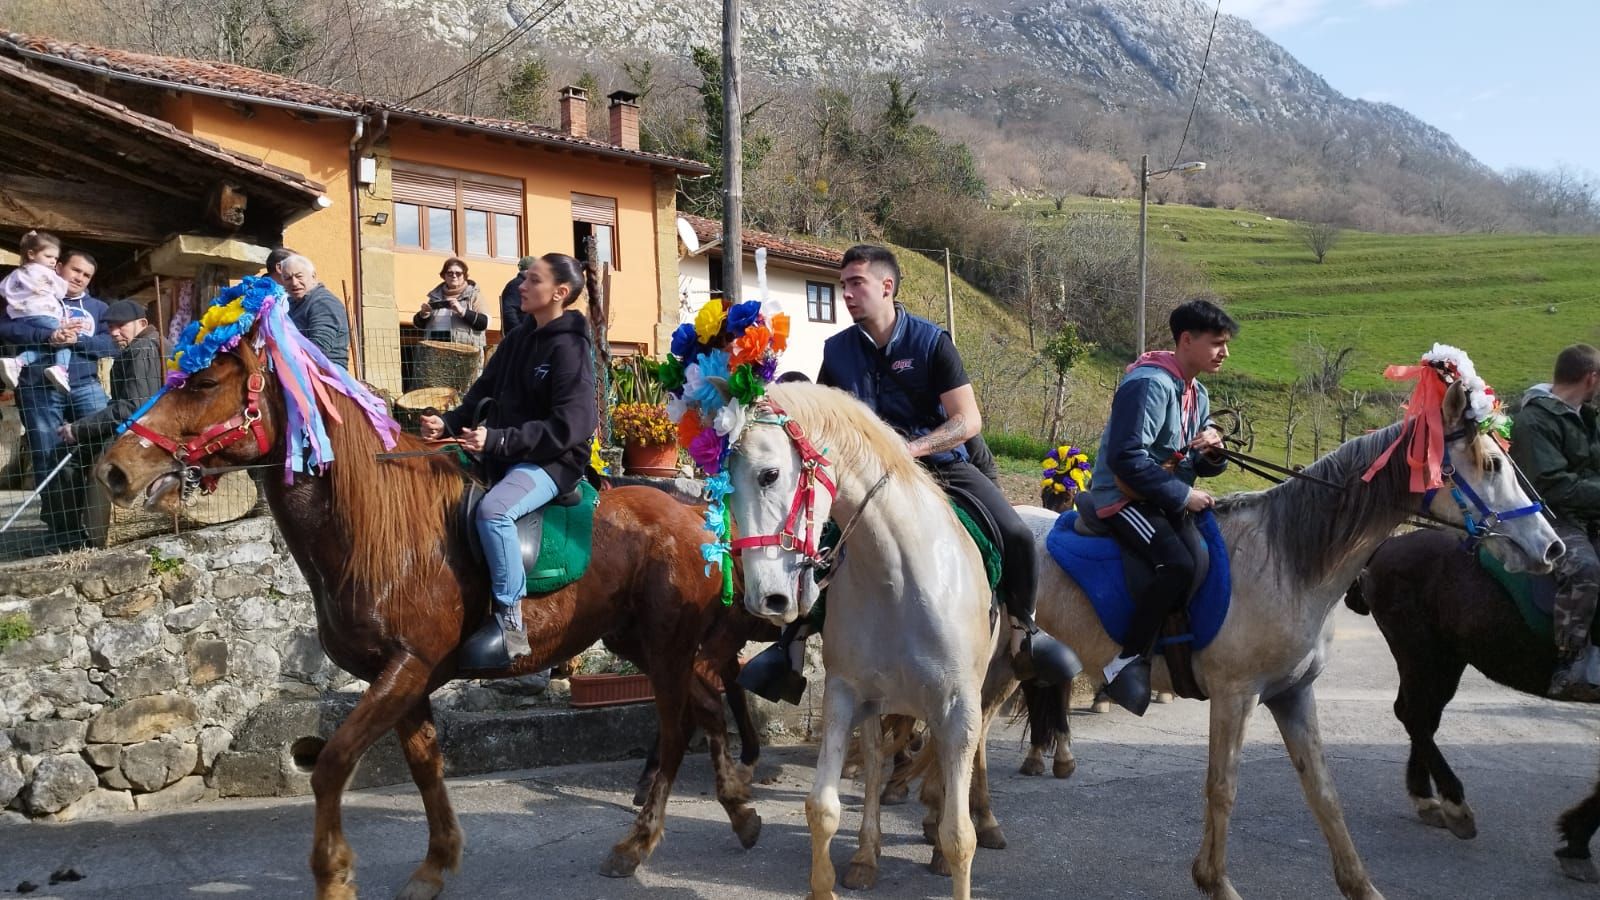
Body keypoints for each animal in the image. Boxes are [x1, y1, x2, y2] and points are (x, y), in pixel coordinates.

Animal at [96, 337, 764, 896]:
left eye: (204, 382)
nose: (113, 469)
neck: (374, 527)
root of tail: (698, 518)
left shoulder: (407, 667)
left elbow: (332, 765)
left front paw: (334, 876)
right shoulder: (402, 679)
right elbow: (424, 767)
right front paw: (436, 864)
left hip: (666, 648)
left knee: (677, 730)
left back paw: (636, 845)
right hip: (640, 645)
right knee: (708, 710)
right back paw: (741, 812)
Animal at [729, 381, 998, 896]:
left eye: (769, 474)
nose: (766, 598)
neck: (898, 576)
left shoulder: (959, 705)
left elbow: (960, 836)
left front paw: (947, 846)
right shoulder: (844, 693)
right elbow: (822, 807)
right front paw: (826, 883)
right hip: (878, 704)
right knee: (874, 764)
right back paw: (866, 856)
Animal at [1011, 374, 1561, 890]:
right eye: (1492, 466)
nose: (1551, 547)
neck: (1286, 559)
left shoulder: (1292, 694)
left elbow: (1322, 790)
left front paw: (1359, 884)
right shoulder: (1235, 696)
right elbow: (1222, 787)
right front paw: (1215, 881)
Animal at [1350, 528, 1600, 877]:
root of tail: (1390, 543)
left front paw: (1577, 840)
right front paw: (1577, 842)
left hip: (1447, 655)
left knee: (1422, 715)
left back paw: (1426, 797)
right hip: (1416, 646)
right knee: (1414, 714)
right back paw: (1454, 803)